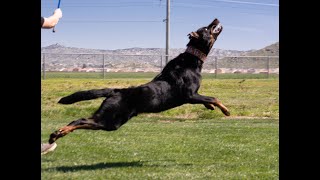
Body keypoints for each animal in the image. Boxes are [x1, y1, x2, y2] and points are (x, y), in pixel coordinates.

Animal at [47, 18, 230, 144]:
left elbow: (207, 100)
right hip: (110, 119)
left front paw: (210, 107)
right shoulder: (190, 95)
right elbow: (214, 97)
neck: (192, 60)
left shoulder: (194, 96)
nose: (215, 19)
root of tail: (116, 90)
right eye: (206, 27)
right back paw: (59, 132)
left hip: (112, 120)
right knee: (81, 120)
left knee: (83, 121)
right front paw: (225, 110)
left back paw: (57, 134)